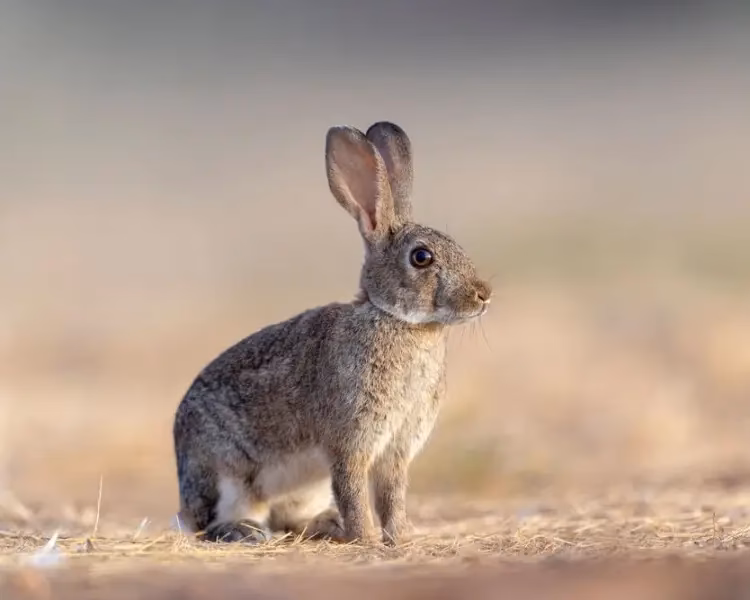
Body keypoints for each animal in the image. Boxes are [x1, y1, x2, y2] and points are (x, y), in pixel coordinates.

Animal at [173, 121, 492, 546]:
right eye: (422, 257)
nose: (483, 294)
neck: (397, 320)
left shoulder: (396, 449)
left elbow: (392, 495)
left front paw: (402, 537)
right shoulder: (351, 439)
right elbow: (353, 490)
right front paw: (368, 539)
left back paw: (327, 525)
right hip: (223, 474)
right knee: (211, 522)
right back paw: (246, 532)